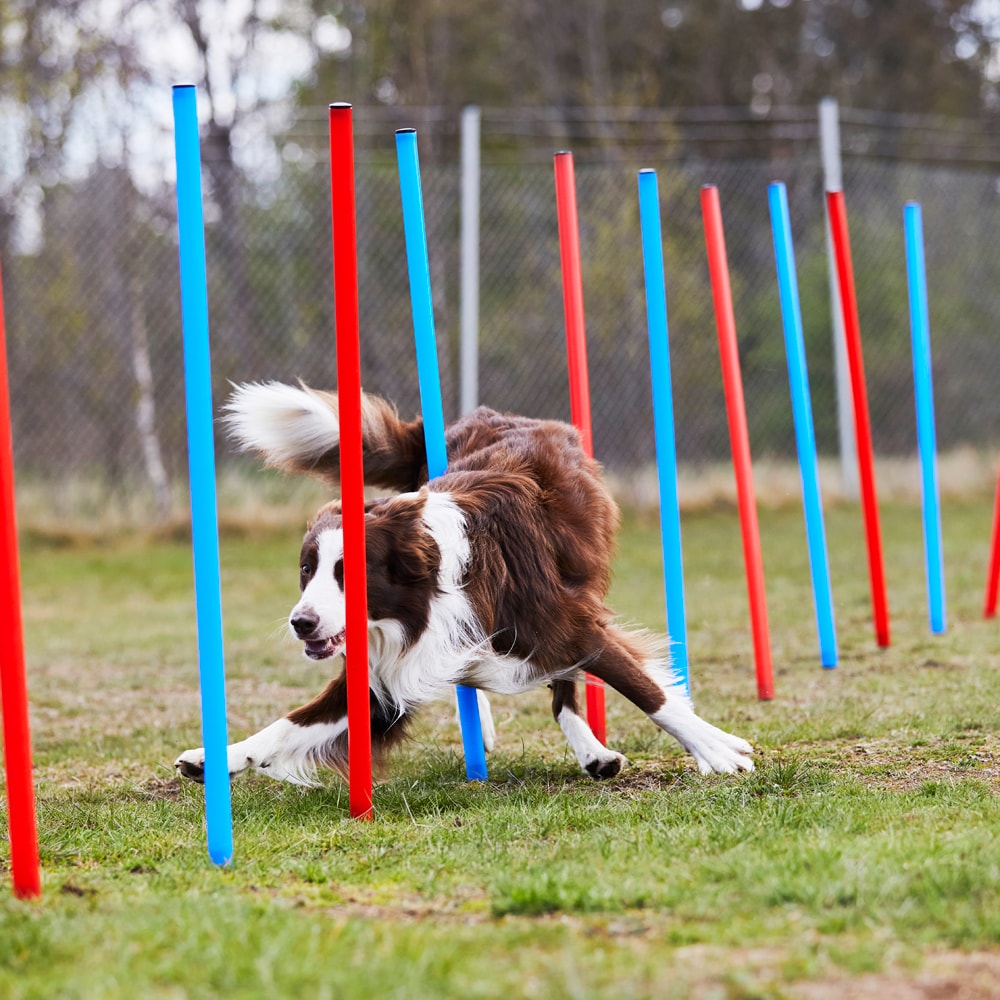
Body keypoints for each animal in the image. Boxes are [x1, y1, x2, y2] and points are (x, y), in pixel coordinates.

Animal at [174, 386, 752, 784]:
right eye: (305, 570)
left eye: (348, 573)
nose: (301, 623)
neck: (422, 601)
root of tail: (493, 414)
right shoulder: (384, 678)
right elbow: (289, 724)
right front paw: (215, 758)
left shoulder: (569, 623)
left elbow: (648, 691)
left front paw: (717, 748)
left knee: (564, 688)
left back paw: (593, 751)